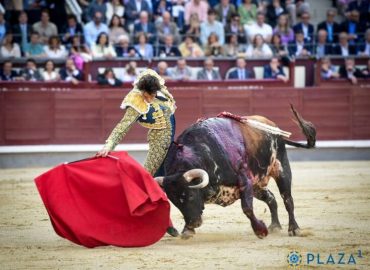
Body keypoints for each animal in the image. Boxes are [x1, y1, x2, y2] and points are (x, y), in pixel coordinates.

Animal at [155, 105, 316, 238]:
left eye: (190, 195)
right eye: (175, 202)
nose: (193, 223)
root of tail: (274, 129)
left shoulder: (244, 179)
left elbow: (247, 208)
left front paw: (260, 231)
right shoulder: (249, 183)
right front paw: (187, 230)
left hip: (281, 169)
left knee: (287, 199)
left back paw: (294, 229)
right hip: (256, 185)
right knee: (271, 198)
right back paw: (275, 226)